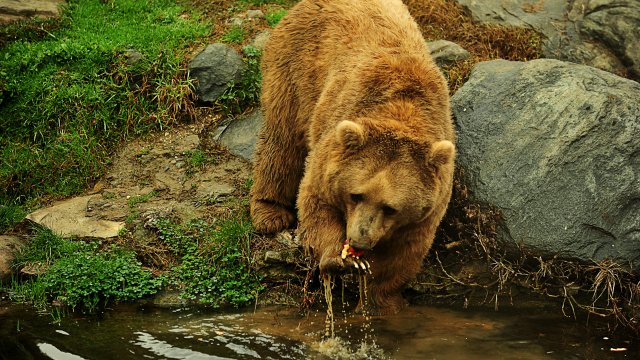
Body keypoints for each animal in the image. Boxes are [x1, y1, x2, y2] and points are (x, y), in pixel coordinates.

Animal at [250, 0, 456, 316]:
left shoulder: (426, 210)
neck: (403, 110)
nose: (360, 238)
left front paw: (380, 302)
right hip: (297, 65)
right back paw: (270, 212)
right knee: (282, 136)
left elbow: (403, 254)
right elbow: (316, 201)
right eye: (356, 194)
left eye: (390, 207)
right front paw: (337, 259)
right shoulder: (333, 143)